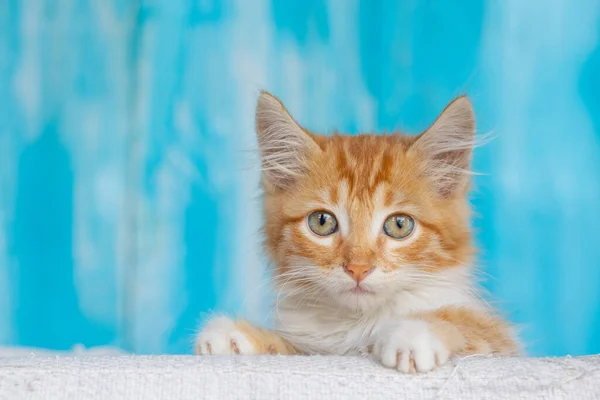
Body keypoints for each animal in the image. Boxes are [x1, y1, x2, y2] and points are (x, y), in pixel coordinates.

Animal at [195, 90, 516, 372]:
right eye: (321, 222)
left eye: (399, 225)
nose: (358, 268)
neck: (358, 325)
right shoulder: (314, 351)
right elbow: (292, 349)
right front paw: (235, 336)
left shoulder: (503, 345)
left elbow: (464, 321)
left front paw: (412, 333)